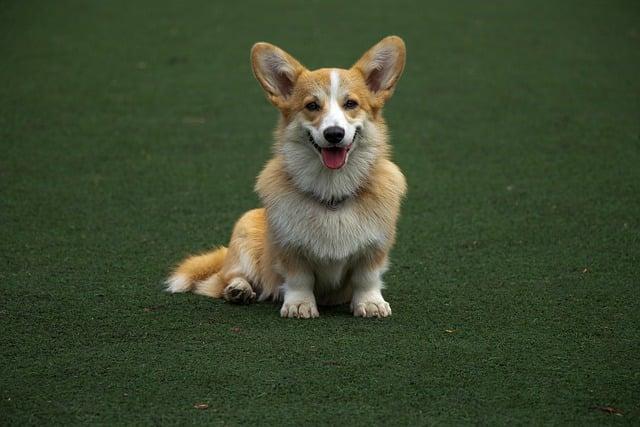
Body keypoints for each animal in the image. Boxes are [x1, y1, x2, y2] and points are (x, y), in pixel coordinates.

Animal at [165, 36, 404, 318]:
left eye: (351, 104)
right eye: (312, 106)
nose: (334, 134)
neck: (331, 191)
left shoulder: (375, 247)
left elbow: (366, 278)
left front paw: (370, 303)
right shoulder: (290, 249)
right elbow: (299, 278)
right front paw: (299, 304)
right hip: (244, 231)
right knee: (227, 277)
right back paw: (239, 290)